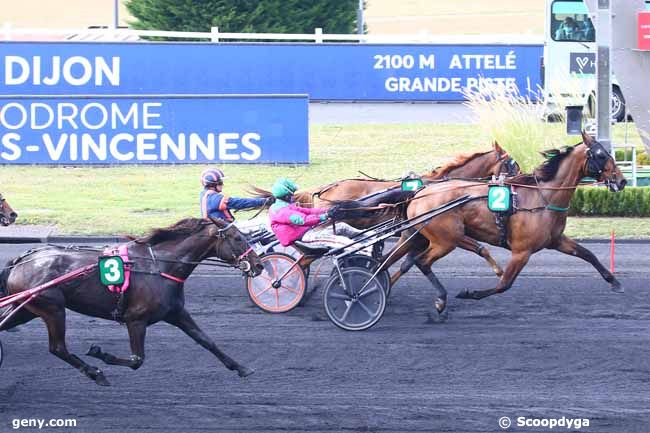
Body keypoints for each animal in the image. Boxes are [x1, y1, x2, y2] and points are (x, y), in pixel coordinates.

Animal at [1, 219, 264, 384]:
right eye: (238, 238)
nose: (259, 265)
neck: (160, 265)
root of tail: (23, 259)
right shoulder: (135, 319)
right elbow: (137, 360)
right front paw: (100, 353)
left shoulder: (176, 313)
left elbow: (207, 341)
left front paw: (241, 368)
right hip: (52, 309)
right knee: (58, 348)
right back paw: (95, 373)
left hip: (28, 309)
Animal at [404, 130, 624, 316]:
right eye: (601, 155)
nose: (621, 181)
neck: (543, 197)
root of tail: (420, 194)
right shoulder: (521, 251)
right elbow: (504, 284)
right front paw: (470, 293)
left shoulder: (556, 240)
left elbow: (588, 254)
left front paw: (614, 281)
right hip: (446, 240)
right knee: (422, 262)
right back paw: (441, 299)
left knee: (416, 261)